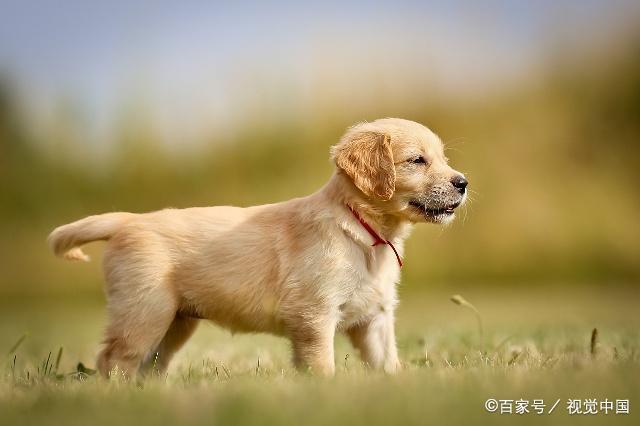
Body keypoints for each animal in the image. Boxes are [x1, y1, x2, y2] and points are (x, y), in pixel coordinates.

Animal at [48, 118, 464, 378]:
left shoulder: (374, 318)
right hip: (144, 310)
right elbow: (322, 365)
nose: (463, 182)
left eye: (443, 159)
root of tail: (127, 221)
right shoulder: (313, 314)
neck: (362, 230)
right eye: (417, 161)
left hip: (174, 322)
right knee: (114, 359)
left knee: (148, 365)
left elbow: (387, 364)